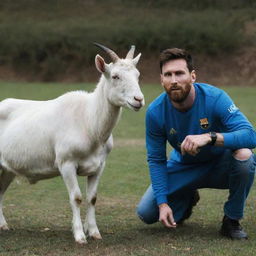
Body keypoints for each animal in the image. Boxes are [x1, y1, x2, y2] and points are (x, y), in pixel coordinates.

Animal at [0, 44, 145, 244]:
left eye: (137, 75)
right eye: (115, 76)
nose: (138, 100)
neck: (88, 121)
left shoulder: (99, 166)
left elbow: (92, 198)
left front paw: (94, 232)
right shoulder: (66, 163)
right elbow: (76, 197)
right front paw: (79, 236)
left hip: (8, 169)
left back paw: (3, 225)